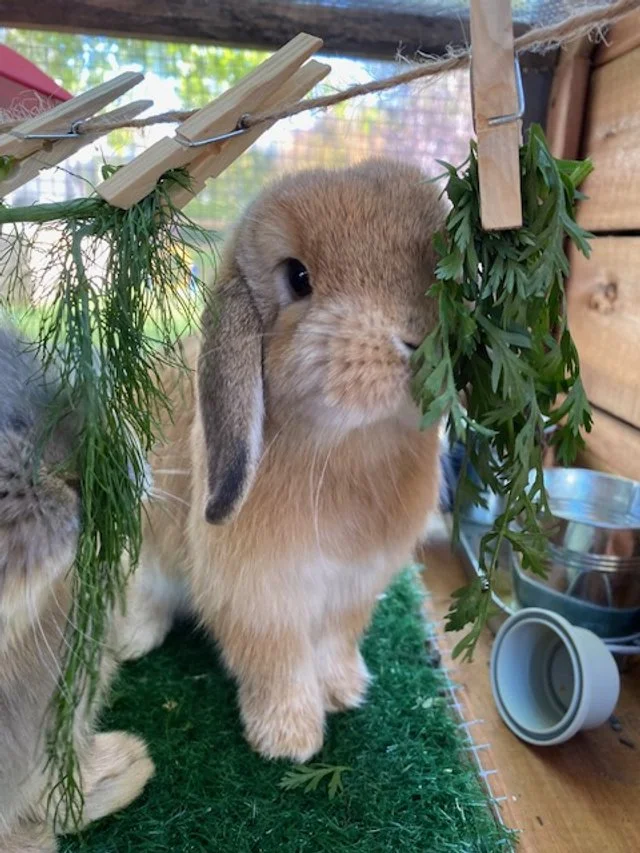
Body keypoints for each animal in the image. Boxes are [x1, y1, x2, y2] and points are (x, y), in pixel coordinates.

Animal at [117, 158, 447, 763]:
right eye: (297, 278)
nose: (418, 338)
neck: (354, 449)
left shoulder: (352, 591)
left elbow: (335, 645)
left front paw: (345, 691)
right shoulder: (261, 600)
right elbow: (280, 665)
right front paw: (289, 739)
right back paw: (131, 640)